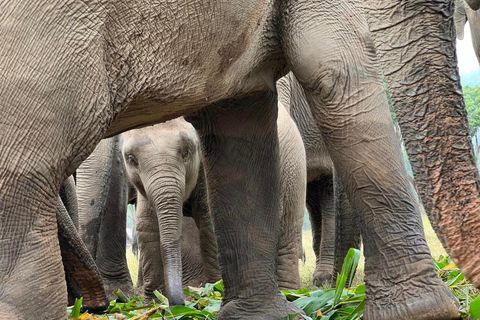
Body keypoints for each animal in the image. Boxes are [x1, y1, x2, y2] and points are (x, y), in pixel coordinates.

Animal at [122, 105, 306, 304]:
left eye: (187, 151)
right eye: (132, 159)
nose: (178, 302)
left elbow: (210, 223)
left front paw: (212, 293)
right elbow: (147, 227)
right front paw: (152, 303)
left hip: (293, 170)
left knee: (287, 230)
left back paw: (291, 294)